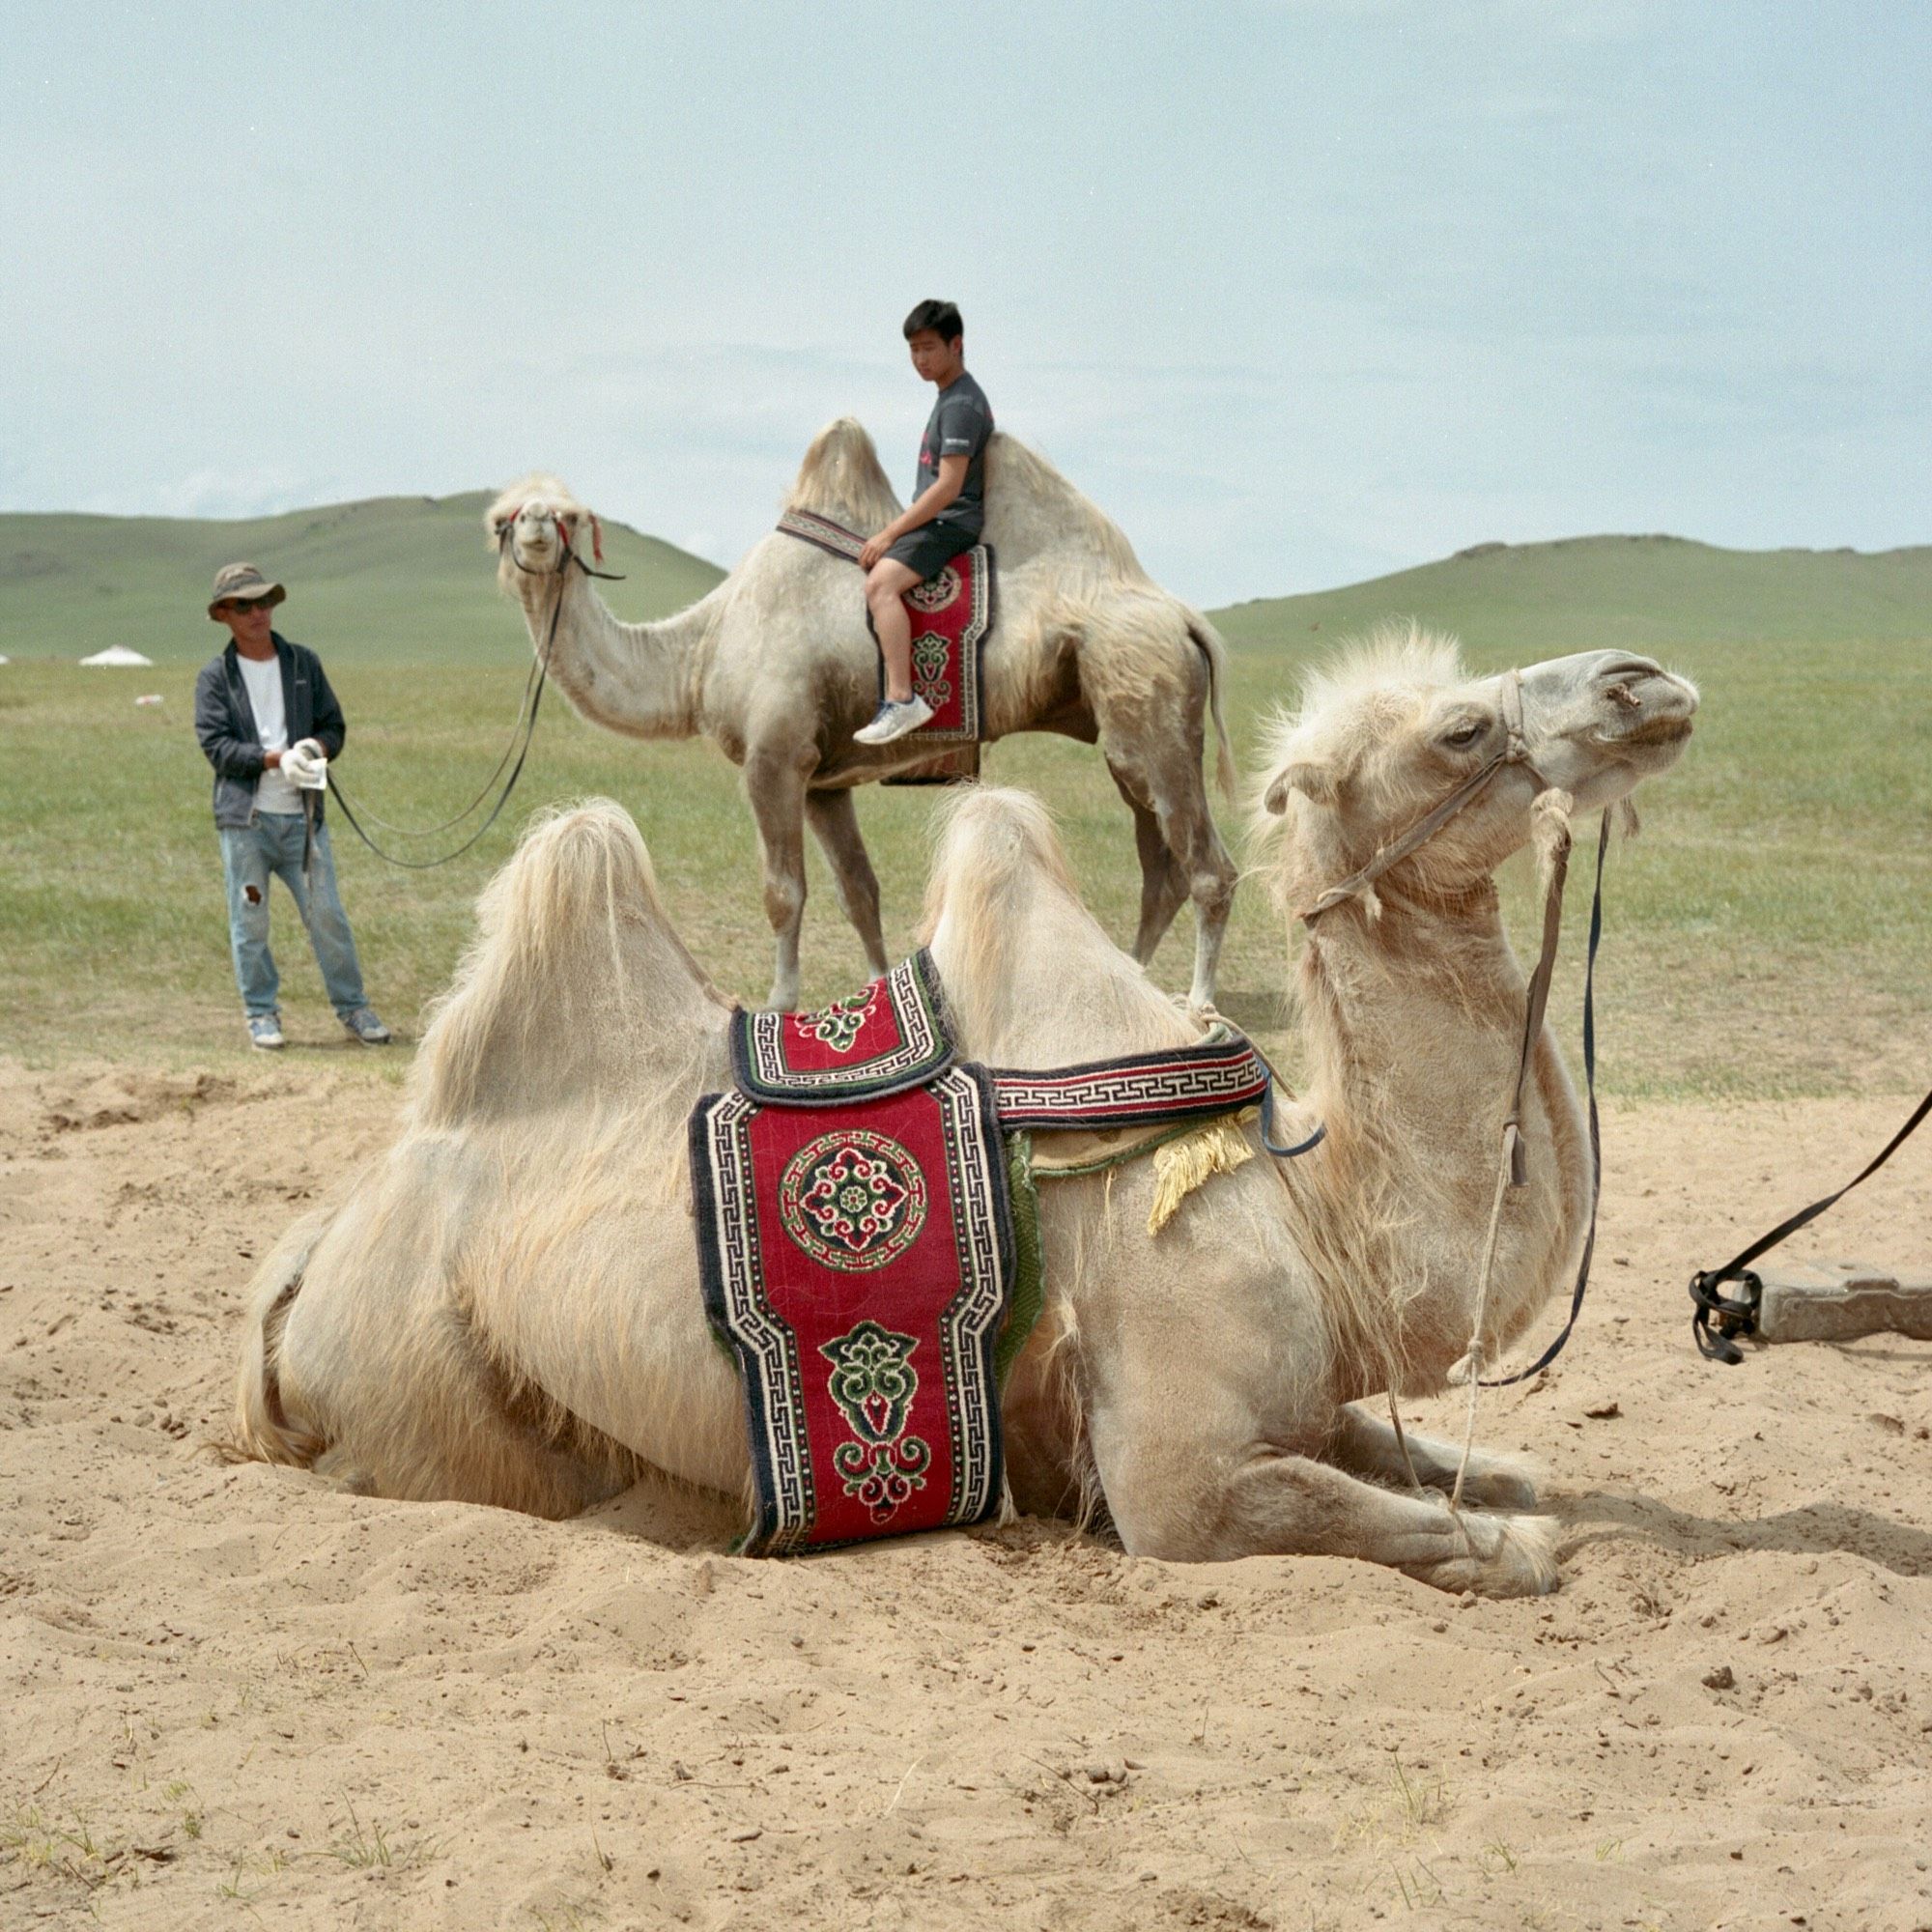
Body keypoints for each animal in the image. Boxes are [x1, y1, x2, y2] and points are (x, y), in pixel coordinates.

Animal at [234, 634, 1700, 1600]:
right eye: (1456, 731)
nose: (1645, 682)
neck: (1307, 1199)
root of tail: (302, 1264)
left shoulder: (1302, 1394)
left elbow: (1458, 1464)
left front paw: (1514, 1486)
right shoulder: (1181, 1474)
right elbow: (1415, 1524)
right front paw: (1525, 1545)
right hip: (432, 1386)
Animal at [483, 421, 1236, 1012]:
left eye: (568, 516)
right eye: (504, 517)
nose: (536, 532)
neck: (700, 652)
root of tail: (1184, 618)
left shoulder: (774, 757)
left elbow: (783, 892)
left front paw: (779, 1003)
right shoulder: (823, 780)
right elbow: (858, 891)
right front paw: (879, 989)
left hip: (1146, 694)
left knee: (1206, 867)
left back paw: (1198, 1001)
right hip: (1124, 726)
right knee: (1160, 864)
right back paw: (1132, 975)